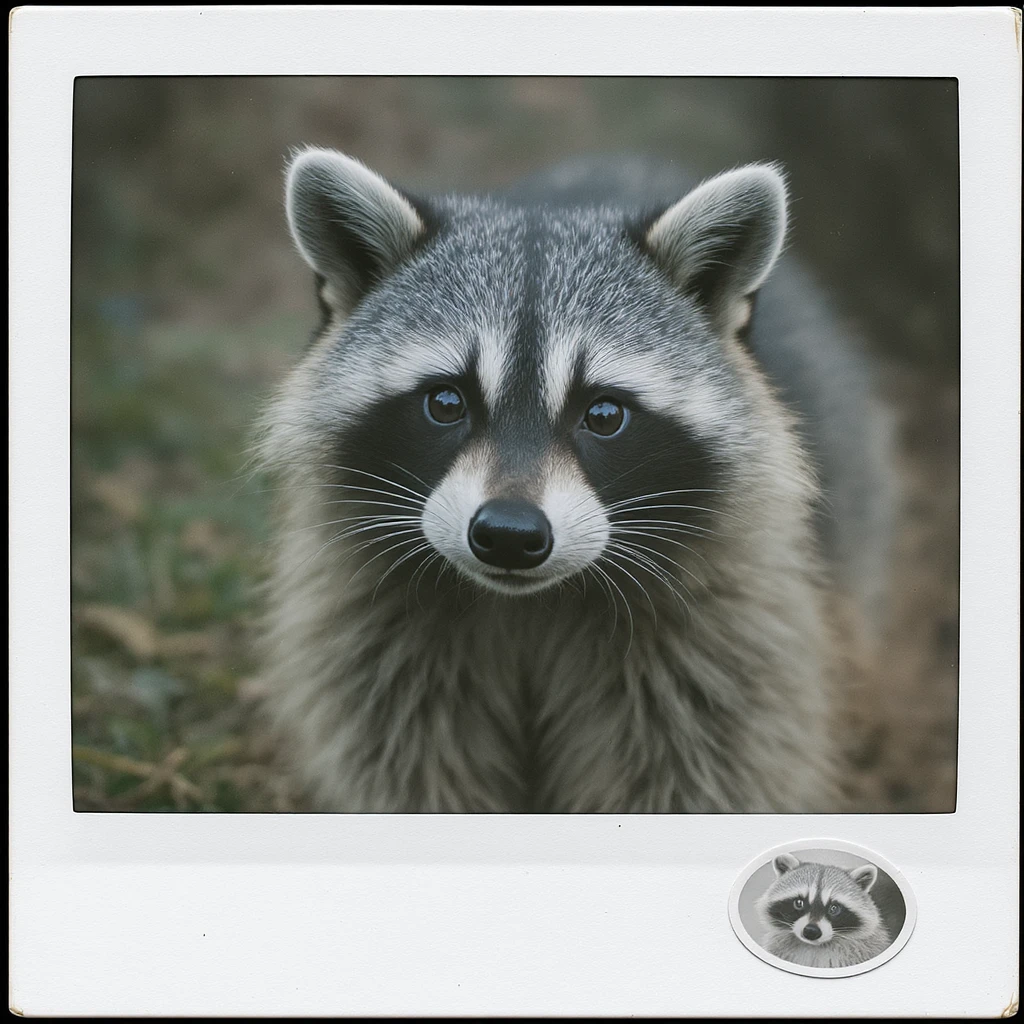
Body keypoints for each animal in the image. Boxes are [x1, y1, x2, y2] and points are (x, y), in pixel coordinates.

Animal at [254, 148, 894, 812]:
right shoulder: (373, 624)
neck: (528, 605)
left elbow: (702, 766)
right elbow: (405, 757)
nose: (509, 535)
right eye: (447, 402)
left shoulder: (722, 624)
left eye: (604, 414)